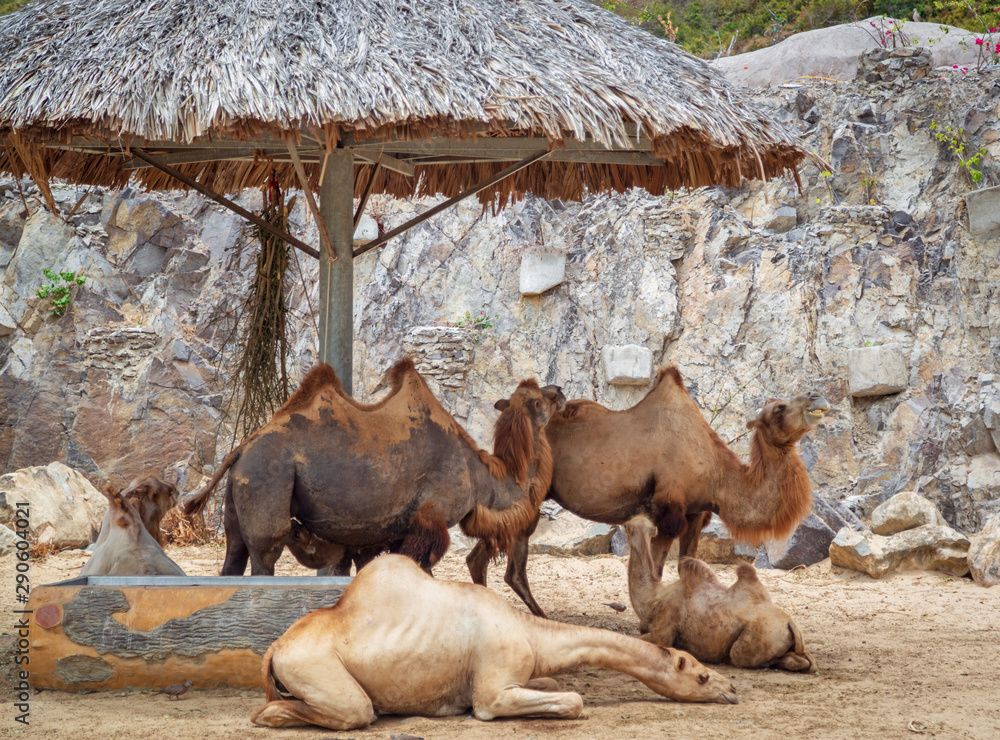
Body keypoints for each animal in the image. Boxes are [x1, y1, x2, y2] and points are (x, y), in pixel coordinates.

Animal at [183, 357, 564, 575]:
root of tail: (240, 449)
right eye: (540, 399)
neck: (482, 475)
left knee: (234, 554)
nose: (560, 390)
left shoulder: (385, 532)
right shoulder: (431, 519)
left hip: (238, 497)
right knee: (266, 553)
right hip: (266, 482)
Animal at [250, 554, 738, 730]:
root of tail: (276, 647)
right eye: (701, 674)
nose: (732, 690)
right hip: (315, 667)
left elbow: (554, 687)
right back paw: (272, 716)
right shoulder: (492, 689)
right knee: (352, 711)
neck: (531, 633)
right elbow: (572, 699)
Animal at [468, 365, 829, 616]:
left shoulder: (696, 513)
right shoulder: (668, 511)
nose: (818, 395)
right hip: (528, 494)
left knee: (483, 559)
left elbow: (688, 565)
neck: (716, 472)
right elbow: (654, 571)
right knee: (505, 562)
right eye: (779, 408)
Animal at [624, 516, 815, 672]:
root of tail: (791, 623)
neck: (653, 598)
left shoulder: (664, 630)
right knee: (808, 660)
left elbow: (641, 639)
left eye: (627, 526)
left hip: (757, 640)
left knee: (742, 656)